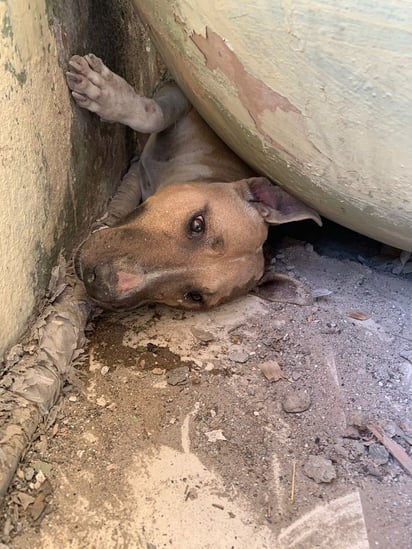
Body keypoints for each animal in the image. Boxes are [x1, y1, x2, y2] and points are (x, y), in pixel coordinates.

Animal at [67, 54, 322, 312]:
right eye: (198, 224)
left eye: (194, 296)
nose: (98, 280)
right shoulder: (186, 96)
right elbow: (154, 115)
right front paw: (102, 91)